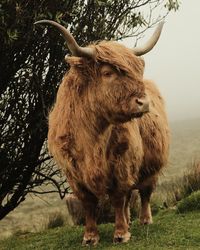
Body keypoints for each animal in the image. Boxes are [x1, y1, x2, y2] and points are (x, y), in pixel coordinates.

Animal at [35, 20, 170, 246]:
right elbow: (89, 203)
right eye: (108, 73)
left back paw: (144, 220)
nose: (144, 103)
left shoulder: (122, 164)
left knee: (144, 192)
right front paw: (90, 237)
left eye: (138, 70)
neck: (92, 139)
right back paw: (129, 220)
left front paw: (121, 234)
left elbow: (118, 197)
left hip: (152, 164)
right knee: (129, 198)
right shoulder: (74, 173)